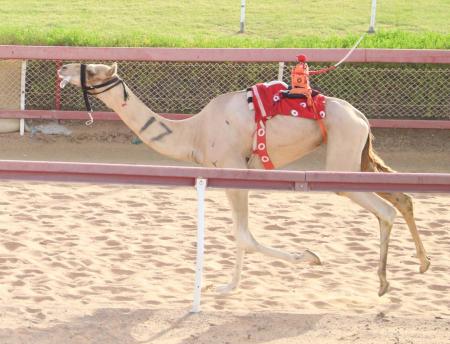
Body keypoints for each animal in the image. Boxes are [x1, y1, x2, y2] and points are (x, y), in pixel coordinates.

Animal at [58, 61, 430, 296]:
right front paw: (227, 287)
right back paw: (423, 264)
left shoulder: (231, 165)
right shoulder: (236, 174)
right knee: (403, 197)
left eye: (91, 70)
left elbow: (243, 235)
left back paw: (383, 282)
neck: (194, 133)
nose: (62, 68)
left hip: (342, 160)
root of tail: (362, 117)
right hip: (359, 158)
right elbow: (239, 234)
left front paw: (309, 257)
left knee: (386, 210)